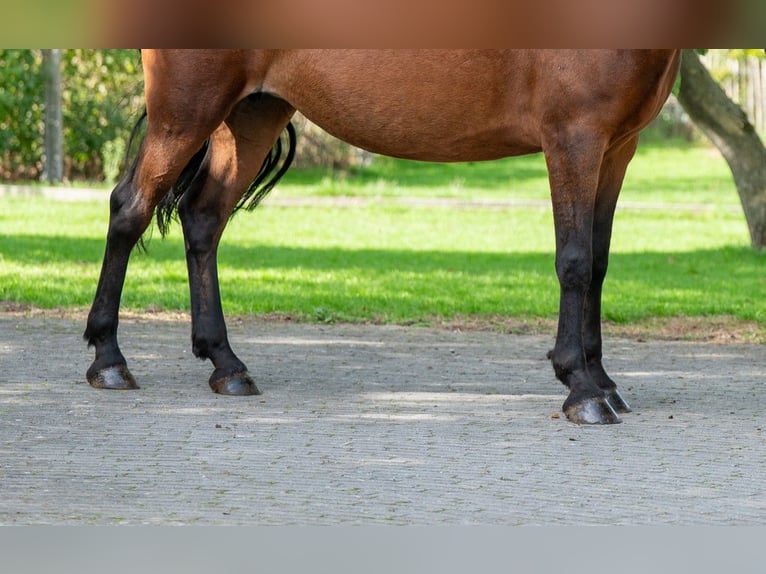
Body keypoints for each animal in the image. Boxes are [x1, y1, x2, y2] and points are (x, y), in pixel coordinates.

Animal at [84, 50, 681, 424]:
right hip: (185, 112)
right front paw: (581, 388)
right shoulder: (573, 139)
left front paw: (603, 382)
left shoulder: (617, 147)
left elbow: (598, 263)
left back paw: (226, 365)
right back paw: (109, 361)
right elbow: (575, 261)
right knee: (129, 210)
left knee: (204, 220)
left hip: (251, 115)